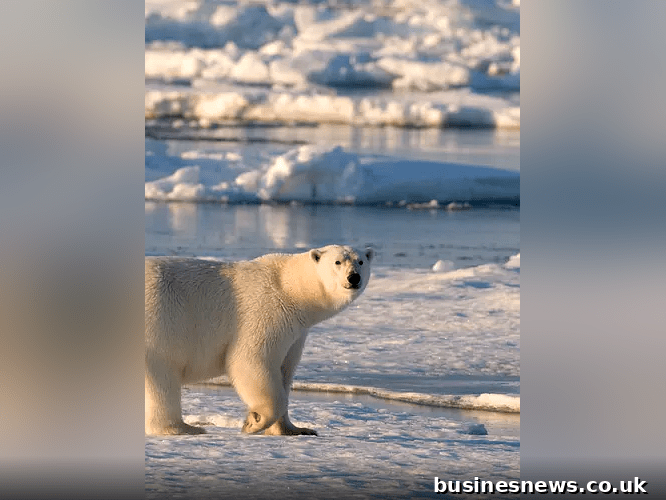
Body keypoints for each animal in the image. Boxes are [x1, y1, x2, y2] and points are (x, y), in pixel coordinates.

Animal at [145, 245, 373, 436]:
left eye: (361, 261)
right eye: (337, 262)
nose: (354, 278)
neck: (289, 287)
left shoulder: (297, 333)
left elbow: (284, 372)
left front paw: (295, 429)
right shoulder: (266, 311)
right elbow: (252, 360)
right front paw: (254, 421)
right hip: (160, 319)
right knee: (161, 377)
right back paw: (181, 428)